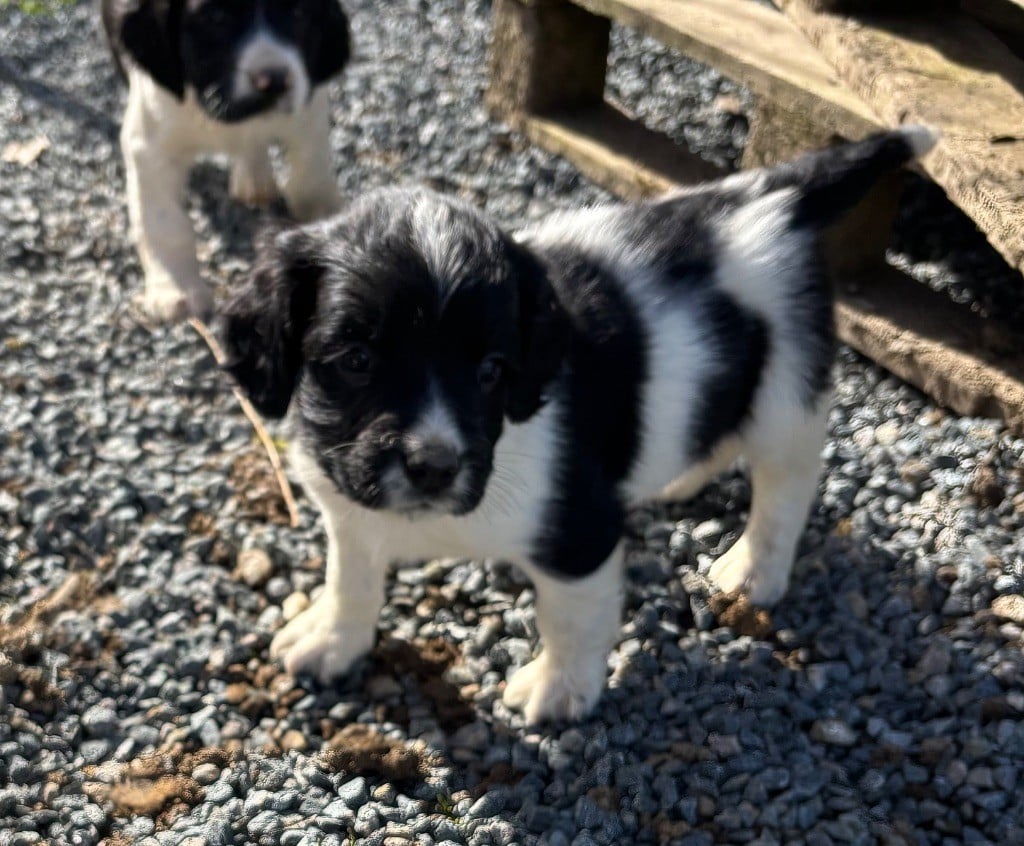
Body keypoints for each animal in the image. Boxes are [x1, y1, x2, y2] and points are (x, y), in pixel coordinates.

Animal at [102, 0, 352, 321]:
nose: (274, 81)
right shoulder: (149, 144)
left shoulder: (309, 109)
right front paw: (176, 288)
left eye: (300, 13)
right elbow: (165, 222)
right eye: (215, 16)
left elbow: (311, 180)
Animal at [220, 128, 937, 721]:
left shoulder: (578, 530)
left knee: (786, 482)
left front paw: (558, 689)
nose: (435, 468)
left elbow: (570, 616)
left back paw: (754, 568)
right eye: (357, 360)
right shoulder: (351, 512)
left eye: (492, 371)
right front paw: (332, 639)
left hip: (786, 390)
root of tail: (771, 194)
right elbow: (351, 579)